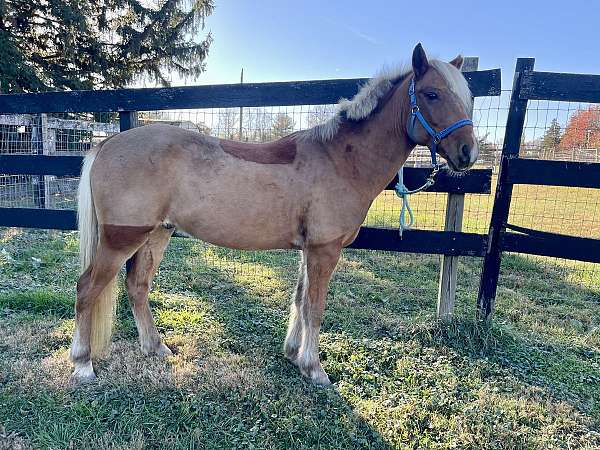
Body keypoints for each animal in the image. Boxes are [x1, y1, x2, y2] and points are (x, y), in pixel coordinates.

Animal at [69, 44, 478, 384]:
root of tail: (106, 144)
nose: (468, 153)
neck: (340, 159)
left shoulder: (309, 249)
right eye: (431, 94)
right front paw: (314, 369)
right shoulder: (325, 250)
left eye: (468, 97)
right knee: (87, 288)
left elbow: (299, 300)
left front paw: (293, 354)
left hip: (157, 233)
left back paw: (156, 347)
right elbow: (315, 307)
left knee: (137, 286)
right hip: (122, 237)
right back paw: (83, 365)